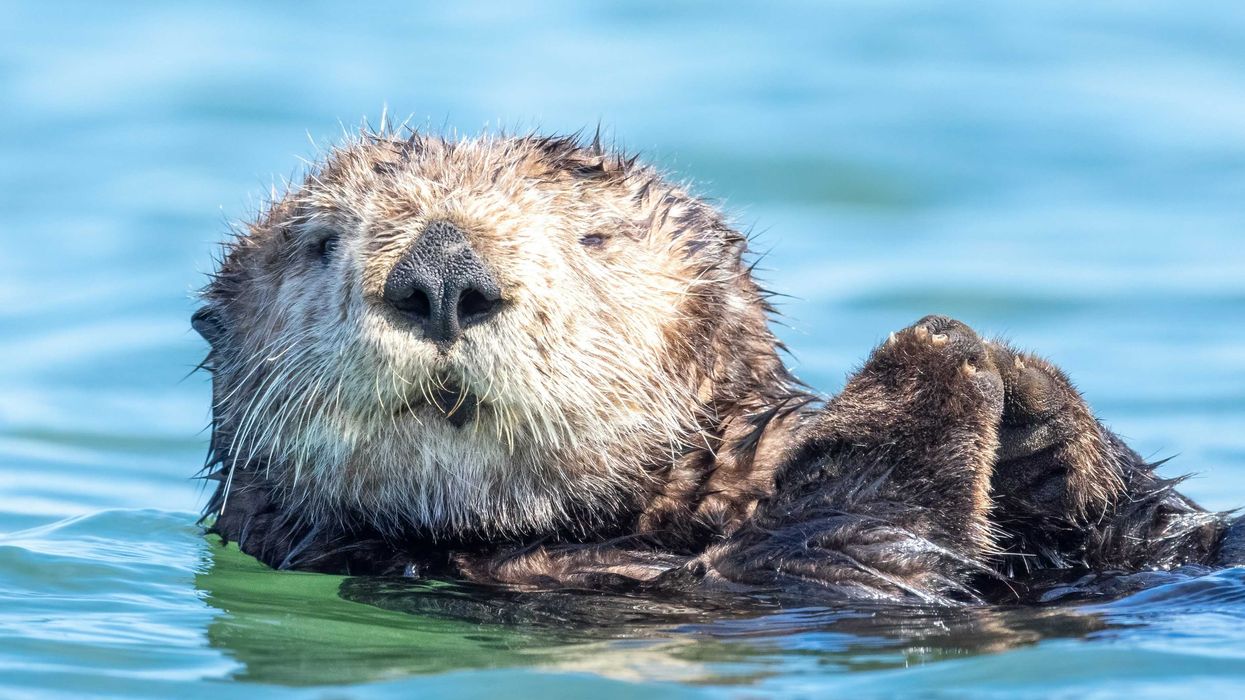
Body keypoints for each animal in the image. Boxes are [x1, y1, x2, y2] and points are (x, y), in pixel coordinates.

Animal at [193, 126, 1243, 604]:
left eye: (592, 238)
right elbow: (862, 550)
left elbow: (1167, 541)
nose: (441, 277)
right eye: (320, 245)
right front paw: (930, 361)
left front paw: (1032, 405)